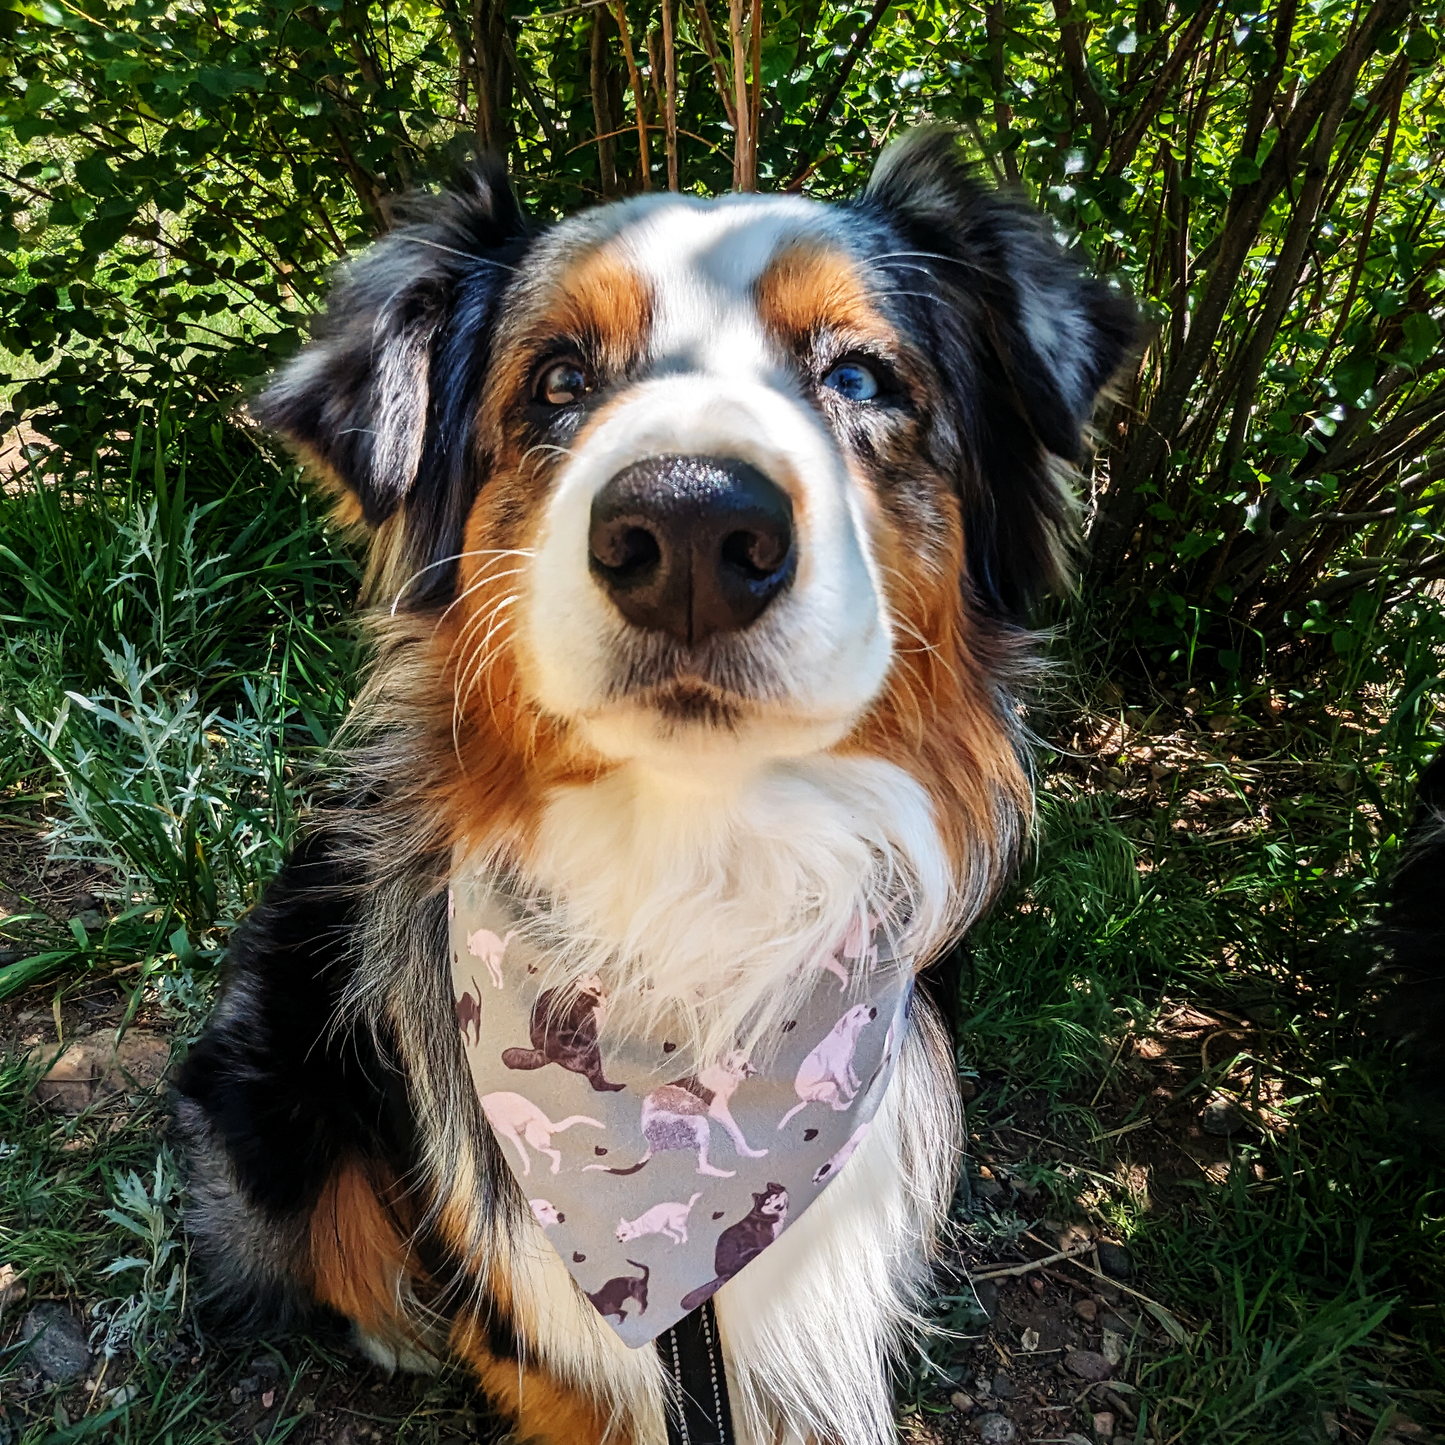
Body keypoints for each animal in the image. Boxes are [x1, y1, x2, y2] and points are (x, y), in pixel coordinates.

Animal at [174, 130, 1132, 1445]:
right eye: (557, 381)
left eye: (861, 378)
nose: (686, 530)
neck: (693, 902)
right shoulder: (555, 1335)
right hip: (263, 1060)